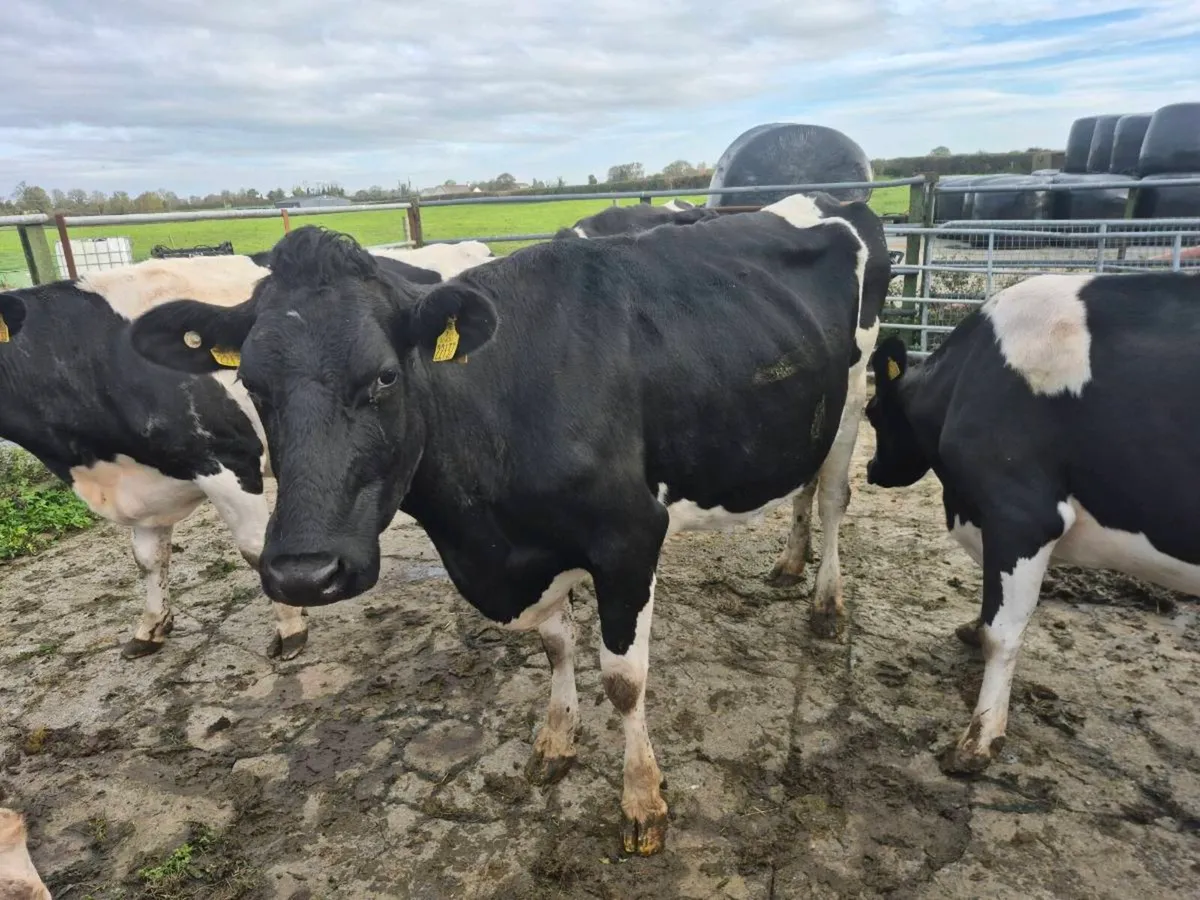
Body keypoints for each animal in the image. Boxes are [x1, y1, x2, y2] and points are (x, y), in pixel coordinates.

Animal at [129, 194, 887, 855]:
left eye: (384, 377)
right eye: (252, 385)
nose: (302, 574)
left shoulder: (630, 539)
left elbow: (624, 680)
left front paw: (642, 800)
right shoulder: (525, 557)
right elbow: (554, 646)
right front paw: (556, 739)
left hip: (853, 400)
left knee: (832, 496)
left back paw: (825, 602)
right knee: (803, 487)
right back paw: (789, 565)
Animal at [863, 271, 1200, 775]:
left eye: (871, 413)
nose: (870, 469)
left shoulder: (1022, 512)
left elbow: (1003, 633)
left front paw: (980, 738)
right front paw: (971, 628)